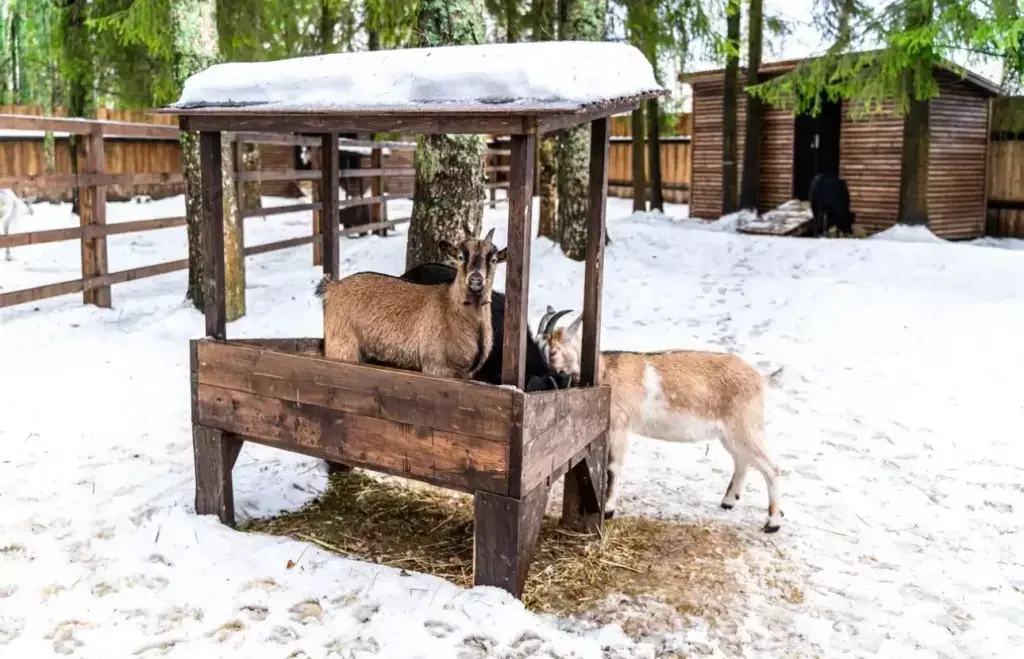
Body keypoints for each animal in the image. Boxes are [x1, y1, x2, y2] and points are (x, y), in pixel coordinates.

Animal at [315, 225, 507, 380]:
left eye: (494, 259)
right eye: (460, 256)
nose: (476, 279)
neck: (450, 307)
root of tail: (332, 287)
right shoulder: (436, 367)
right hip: (342, 347)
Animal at [537, 307, 786, 533]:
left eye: (553, 352)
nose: (544, 380)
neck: (606, 372)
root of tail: (761, 379)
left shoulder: (620, 426)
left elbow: (613, 467)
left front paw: (608, 510)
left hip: (745, 427)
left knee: (772, 467)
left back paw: (772, 523)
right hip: (731, 434)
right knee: (742, 461)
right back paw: (728, 501)